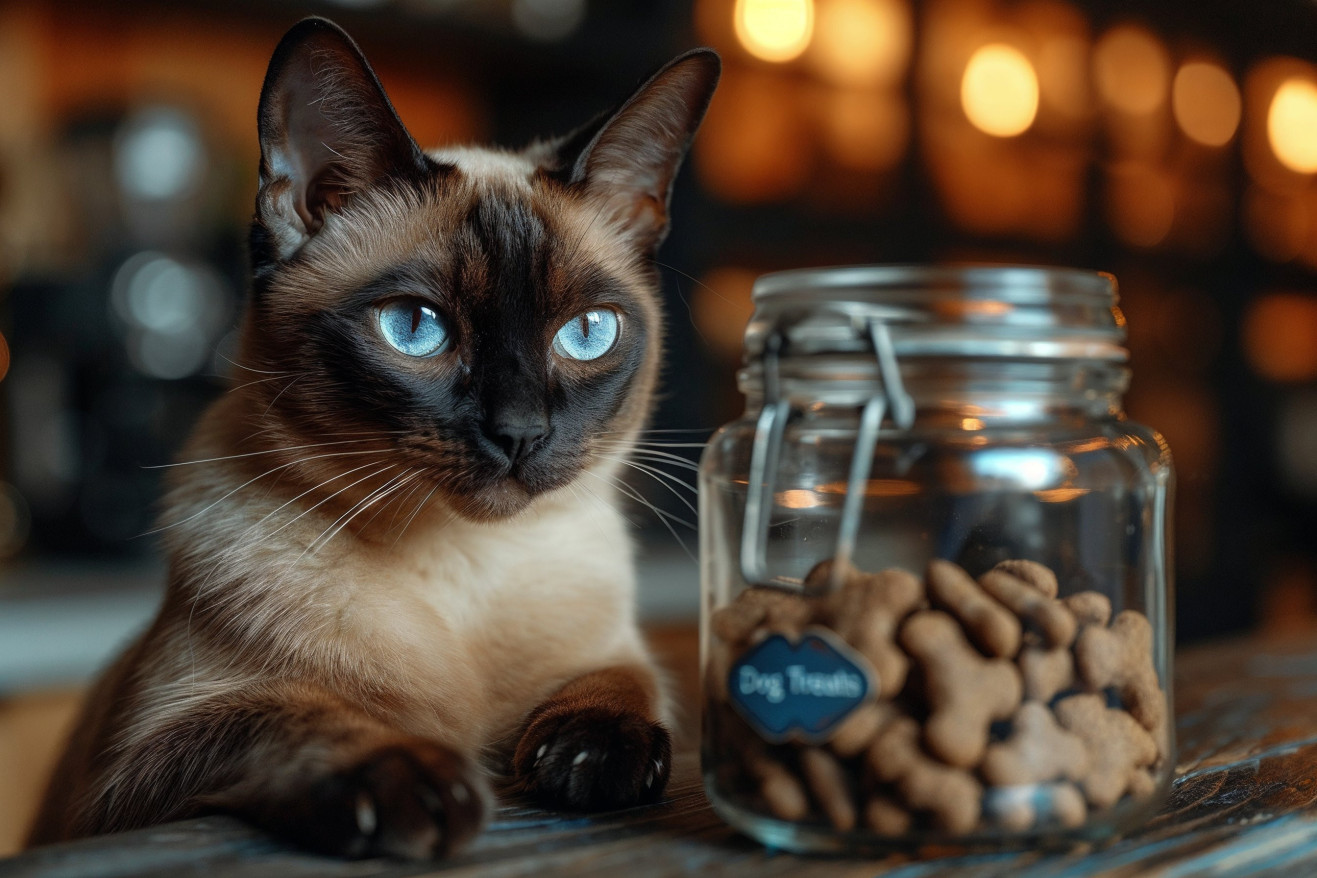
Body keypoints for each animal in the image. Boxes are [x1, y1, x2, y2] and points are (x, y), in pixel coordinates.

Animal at [25, 17, 721, 863]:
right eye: (415, 328)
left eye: (587, 333)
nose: (520, 432)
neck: (467, 570)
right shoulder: (135, 771)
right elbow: (288, 717)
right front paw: (417, 778)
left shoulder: (617, 654)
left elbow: (623, 685)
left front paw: (593, 757)